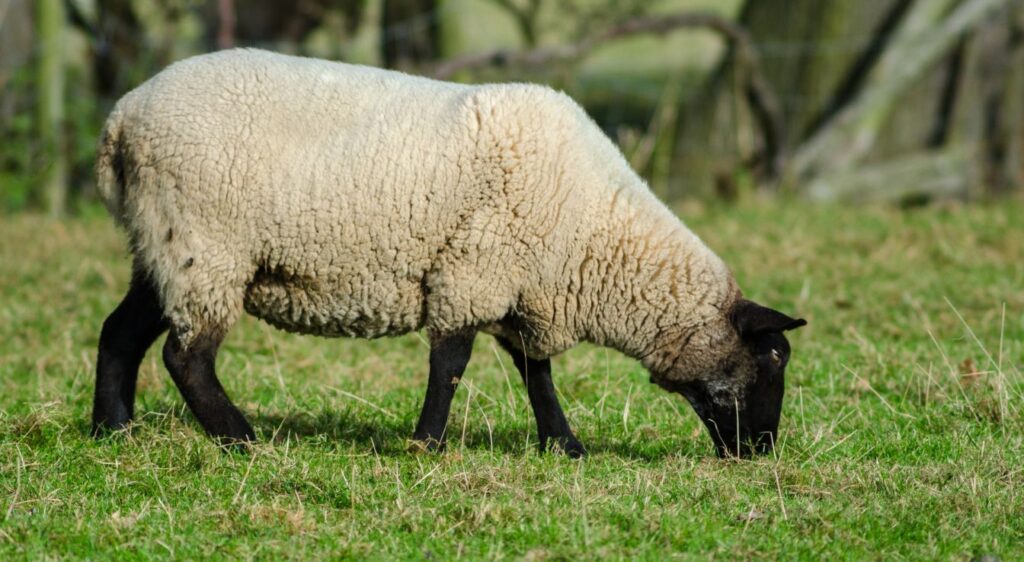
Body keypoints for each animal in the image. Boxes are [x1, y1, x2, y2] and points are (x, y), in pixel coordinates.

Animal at [92, 48, 806, 458]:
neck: (598, 237)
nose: (762, 453)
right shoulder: (474, 272)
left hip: (162, 245)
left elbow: (535, 372)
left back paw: (111, 432)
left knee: (119, 333)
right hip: (205, 244)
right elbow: (453, 363)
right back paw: (240, 440)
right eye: (774, 359)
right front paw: (427, 445)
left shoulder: (521, 286)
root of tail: (121, 119)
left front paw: (563, 445)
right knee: (187, 357)